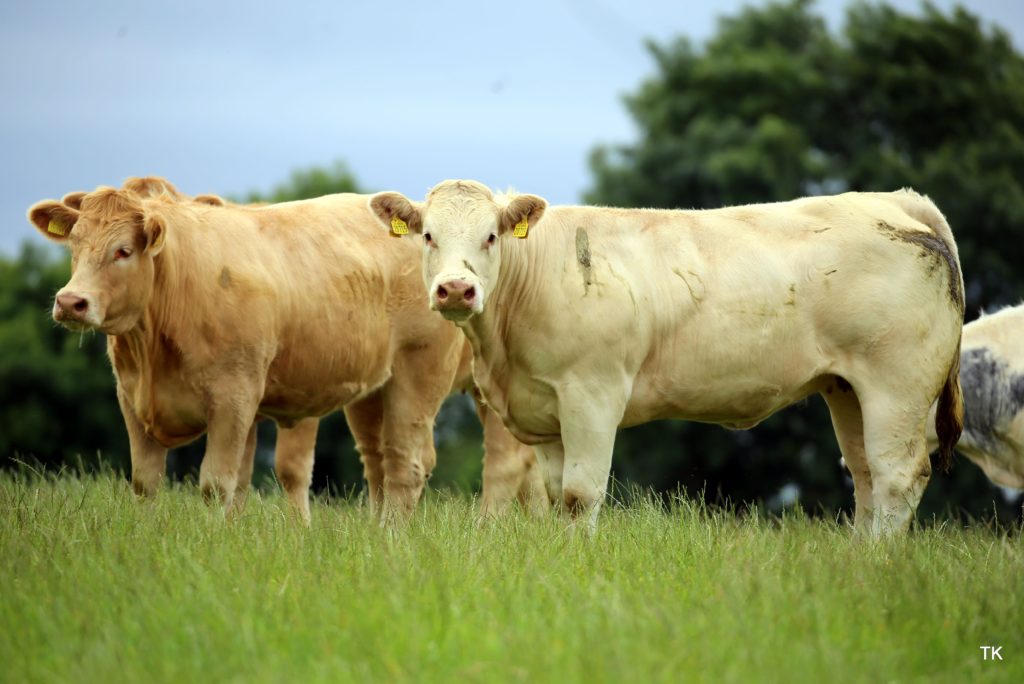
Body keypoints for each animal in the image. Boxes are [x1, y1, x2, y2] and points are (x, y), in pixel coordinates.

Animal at [35, 178, 545, 521]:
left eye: (123, 250)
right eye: (74, 244)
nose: (71, 301)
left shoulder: (235, 397)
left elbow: (220, 482)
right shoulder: (133, 399)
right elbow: (152, 483)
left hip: (424, 376)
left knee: (440, 464)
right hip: (374, 393)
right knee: (382, 463)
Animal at [369, 180, 965, 537]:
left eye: (491, 236)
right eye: (427, 236)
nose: (455, 289)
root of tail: (894, 200)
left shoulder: (593, 394)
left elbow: (581, 495)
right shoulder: (547, 411)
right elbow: (559, 494)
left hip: (897, 385)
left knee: (897, 475)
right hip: (846, 389)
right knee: (865, 475)